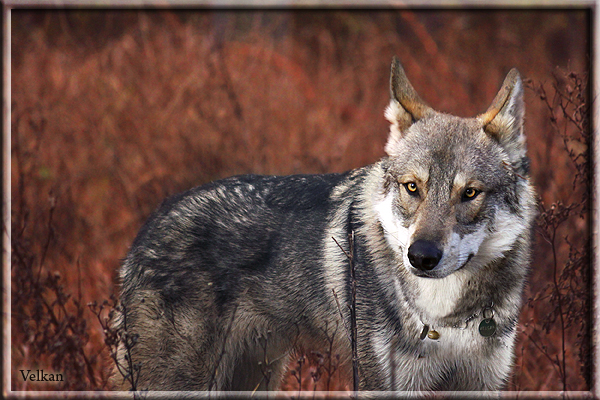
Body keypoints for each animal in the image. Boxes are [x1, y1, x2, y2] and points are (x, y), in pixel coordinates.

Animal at [115, 57, 536, 392]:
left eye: (470, 193)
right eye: (412, 187)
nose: (421, 257)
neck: (443, 316)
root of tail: (148, 228)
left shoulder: (483, 383)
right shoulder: (380, 382)